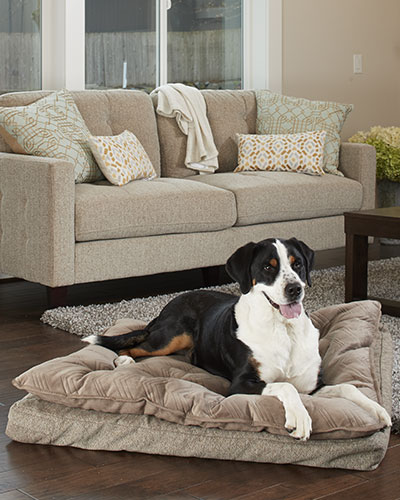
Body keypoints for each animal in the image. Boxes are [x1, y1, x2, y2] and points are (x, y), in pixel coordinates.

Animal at [85, 236, 390, 440]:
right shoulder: (241, 384)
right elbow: (285, 387)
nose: (295, 289)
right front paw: (300, 418)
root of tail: (169, 304)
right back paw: (124, 362)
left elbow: (348, 387)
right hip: (171, 336)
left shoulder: (313, 384)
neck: (284, 329)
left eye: (298, 264)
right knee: (134, 348)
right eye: (268, 267)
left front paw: (379, 411)